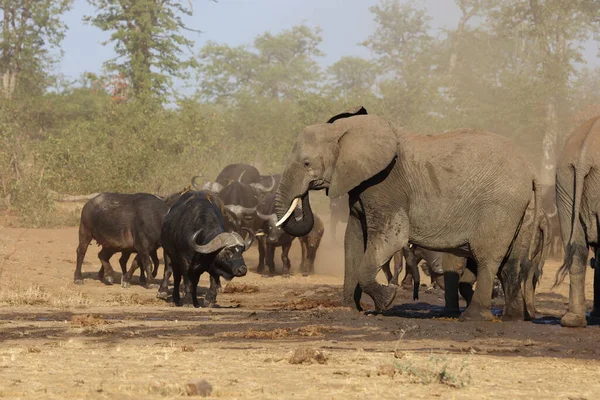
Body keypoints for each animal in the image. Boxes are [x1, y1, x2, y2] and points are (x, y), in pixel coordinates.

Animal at [274, 106, 540, 322]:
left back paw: (472, 317)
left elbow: (390, 239)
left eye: (306, 163)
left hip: (499, 206)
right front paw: (350, 309)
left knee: (488, 258)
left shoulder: (385, 184)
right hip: (522, 208)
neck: (346, 130)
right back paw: (512, 318)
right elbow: (353, 241)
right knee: (512, 262)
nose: (305, 194)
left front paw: (387, 300)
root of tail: (531, 170)